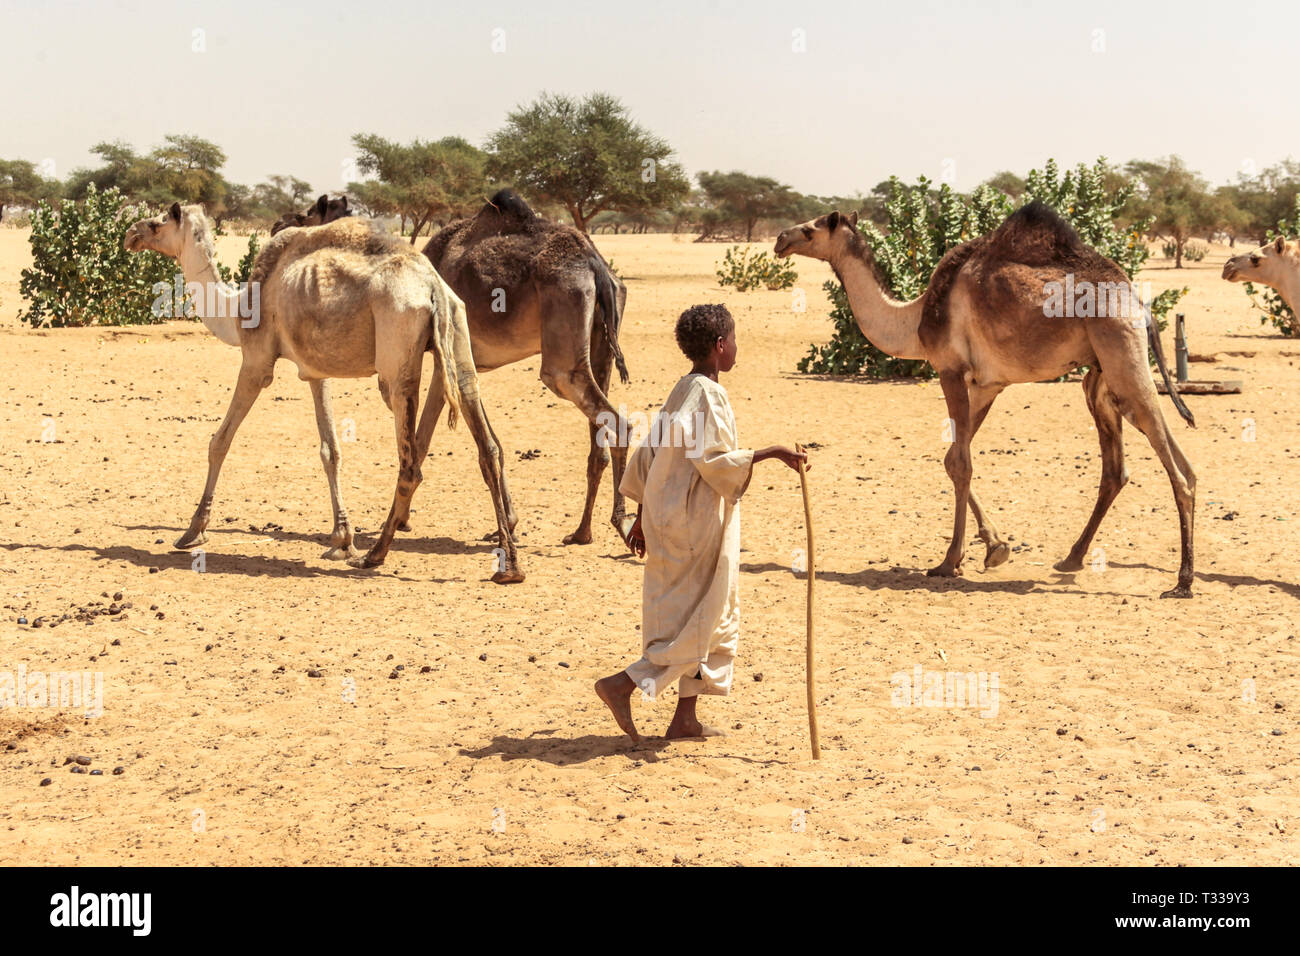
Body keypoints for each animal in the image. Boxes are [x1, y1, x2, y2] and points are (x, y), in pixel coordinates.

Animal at [122, 201, 522, 582]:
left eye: (157, 222)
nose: (130, 234)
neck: (235, 310)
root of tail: (434, 288)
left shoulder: (256, 360)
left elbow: (220, 442)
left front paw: (193, 530)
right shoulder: (315, 371)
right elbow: (330, 450)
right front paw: (341, 539)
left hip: (397, 353)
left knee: (411, 463)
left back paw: (375, 555)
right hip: (458, 334)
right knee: (487, 445)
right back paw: (509, 566)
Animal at [423, 191, 631, 548]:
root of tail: (597, 266)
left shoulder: (443, 357)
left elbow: (422, 442)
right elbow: (492, 444)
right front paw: (507, 524)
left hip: (562, 351)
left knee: (614, 419)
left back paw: (621, 524)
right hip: (602, 341)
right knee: (599, 442)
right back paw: (583, 532)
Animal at [769, 204, 1196, 598]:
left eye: (810, 230)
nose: (780, 239)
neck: (914, 319)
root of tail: (1139, 306)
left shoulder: (949, 369)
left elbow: (960, 464)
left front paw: (949, 561)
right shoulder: (989, 384)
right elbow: (954, 457)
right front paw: (995, 547)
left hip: (1120, 349)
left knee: (1174, 470)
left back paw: (1183, 581)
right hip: (1105, 374)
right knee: (1147, 463)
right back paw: (1072, 559)